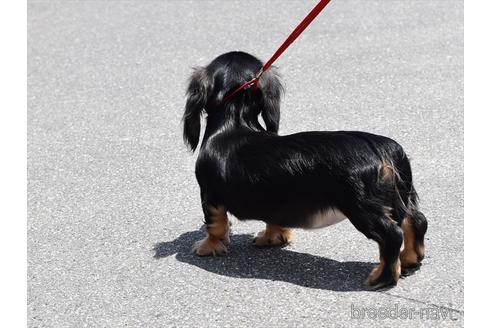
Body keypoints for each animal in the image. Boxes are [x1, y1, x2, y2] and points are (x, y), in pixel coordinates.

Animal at [183, 51, 428, 290]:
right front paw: (272, 238)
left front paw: (207, 246)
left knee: (392, 235)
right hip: (398, 198)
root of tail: (382, 148)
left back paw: (382, 277)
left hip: (362, 207)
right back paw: (409, 260)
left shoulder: (209, 196)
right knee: (416, 221)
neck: (234, 121)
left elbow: (215, 224)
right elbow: (274, 220)